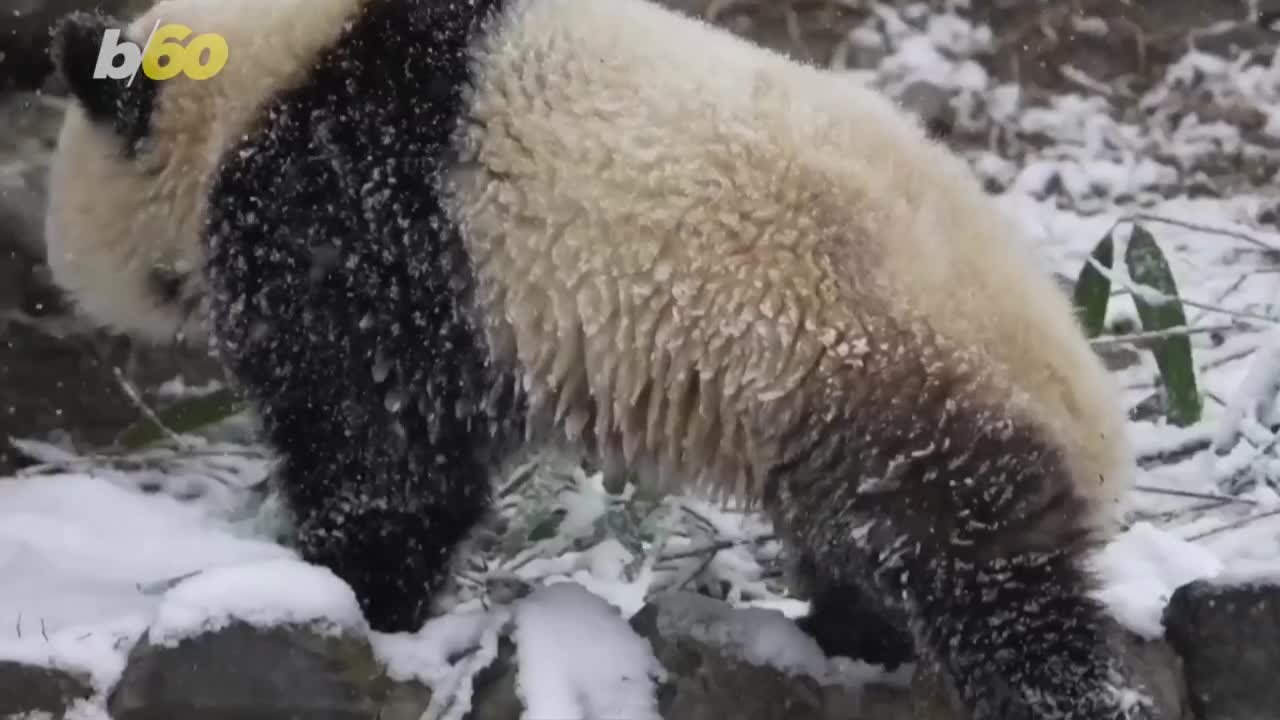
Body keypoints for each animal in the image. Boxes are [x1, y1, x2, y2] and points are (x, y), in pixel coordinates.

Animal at [45, 0, 1151, 716]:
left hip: (913, 392)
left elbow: (384, 448)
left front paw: (349, 594)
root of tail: (1096, 423)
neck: (254, 85)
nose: (66, 288)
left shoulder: (360, 220)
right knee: (860, 554)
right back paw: (846, 639)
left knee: (994, 598)